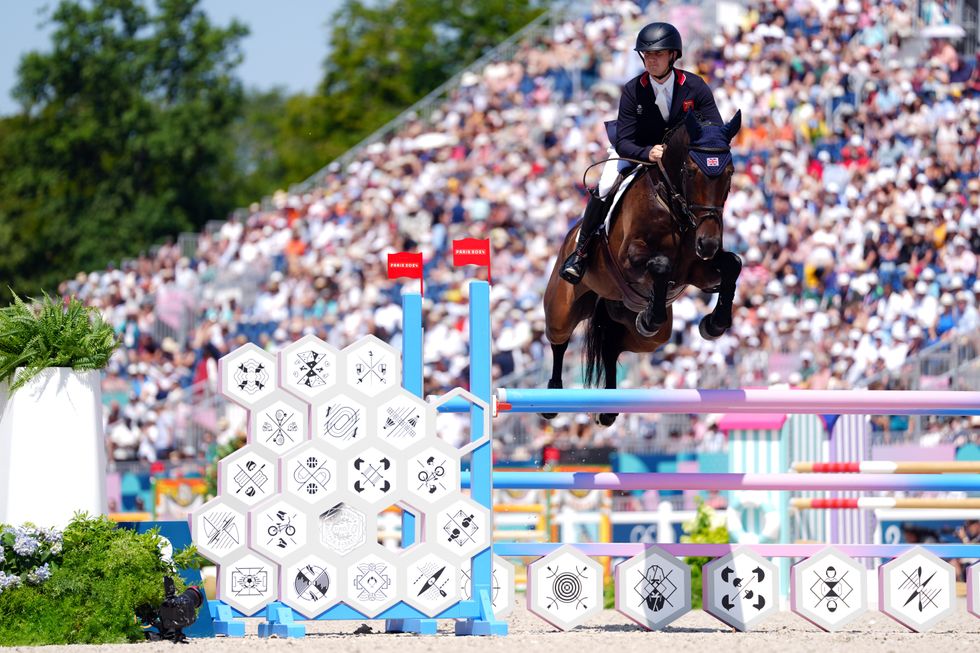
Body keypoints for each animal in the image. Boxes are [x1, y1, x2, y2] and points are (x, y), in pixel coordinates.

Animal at [544, 109, 744, 426]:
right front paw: (653, 316)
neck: (673, 206)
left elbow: (733, 264)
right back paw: (552, 399)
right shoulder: (630, 259)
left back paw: (608, 409)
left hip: (643, 333)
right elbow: (660, 265)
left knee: (612, 345)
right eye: (691, 171)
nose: (708, 243)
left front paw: (714, 324)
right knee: (559, 340)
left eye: (730, 173)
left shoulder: (696, 271)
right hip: (562, 306)